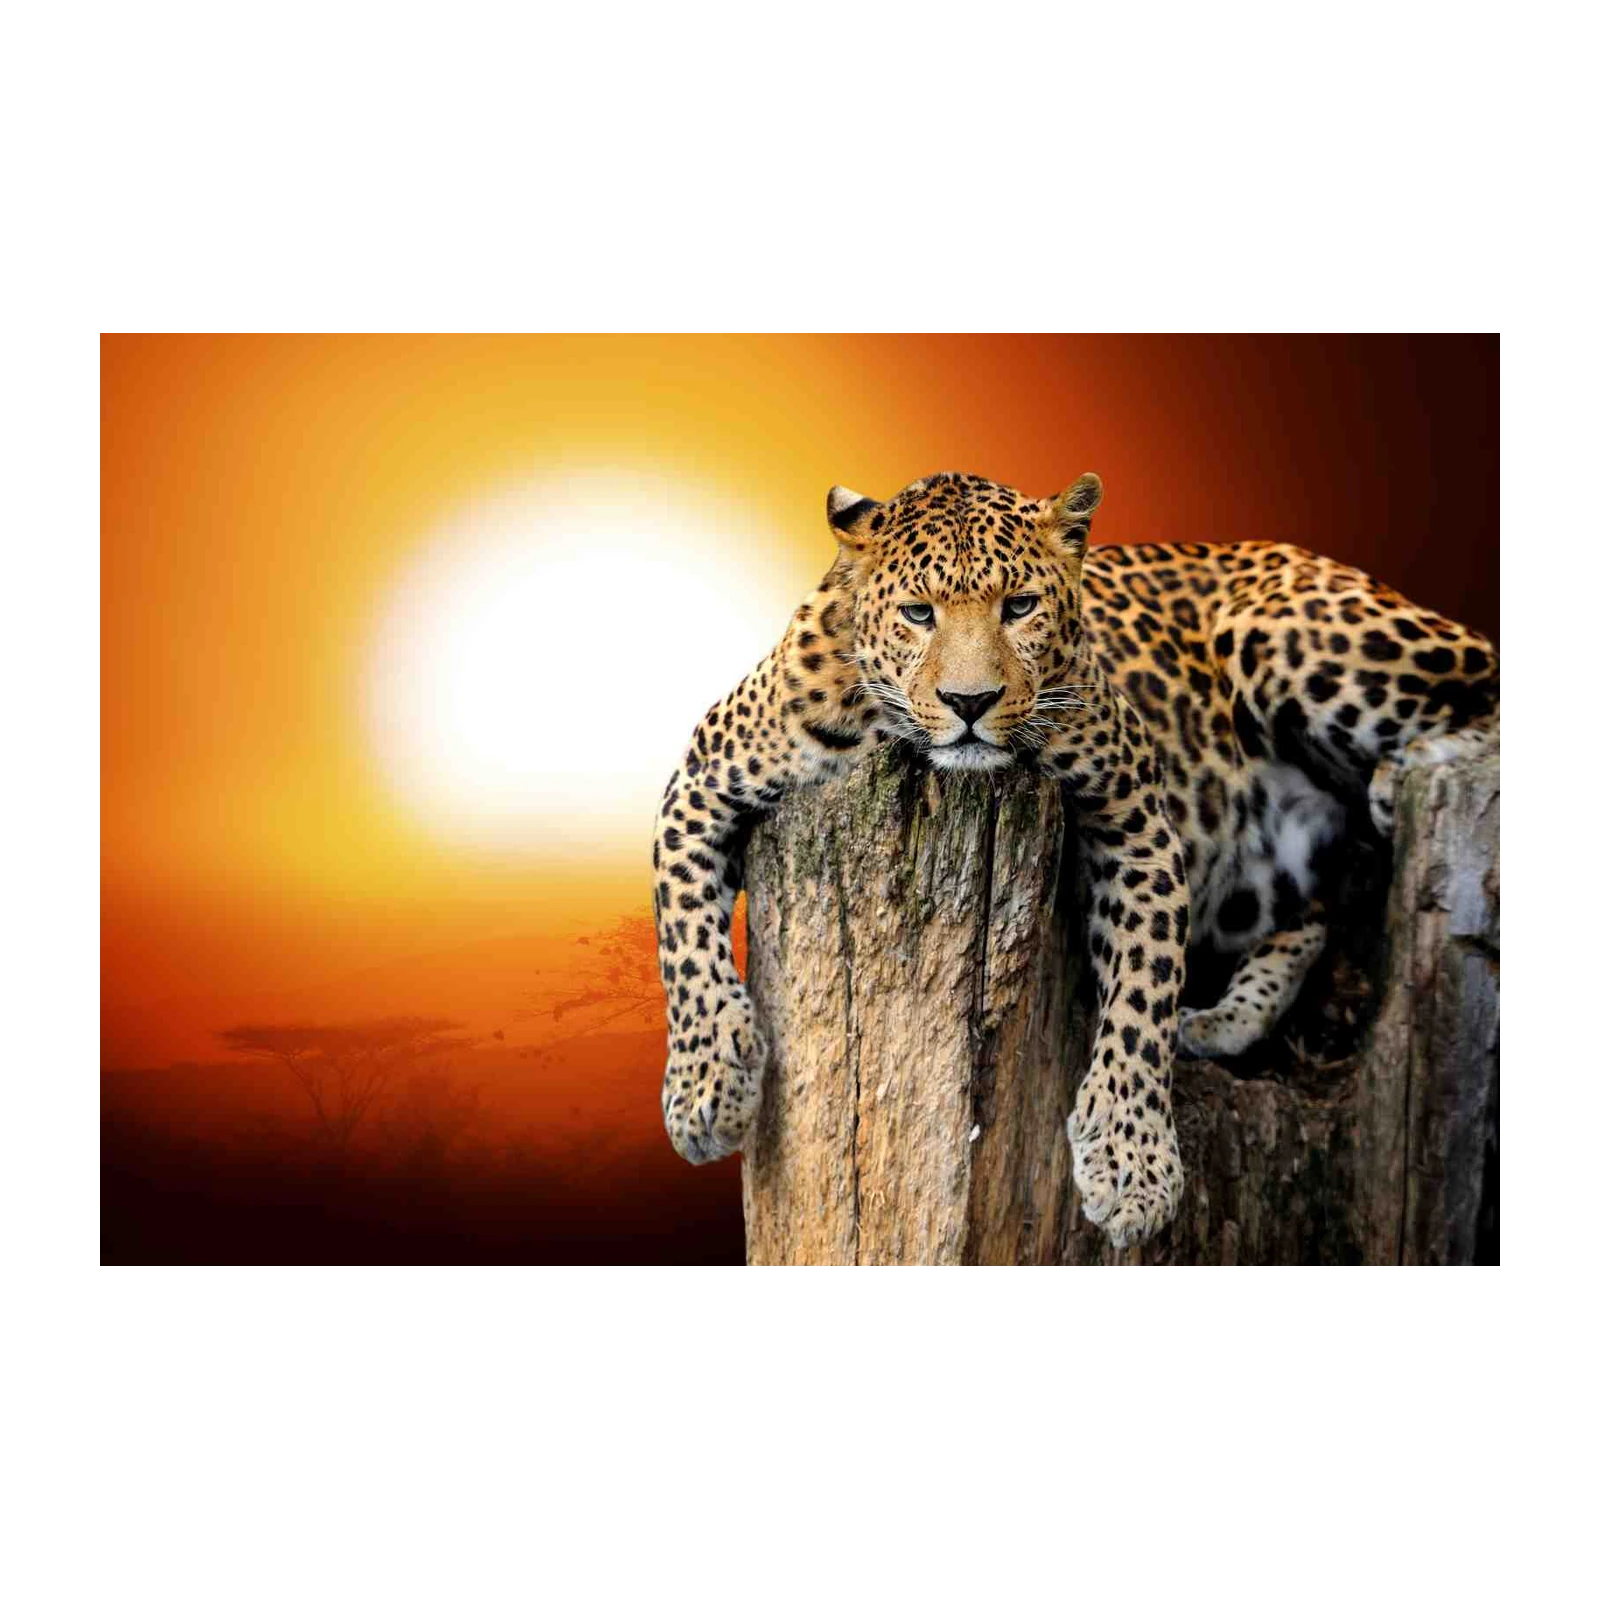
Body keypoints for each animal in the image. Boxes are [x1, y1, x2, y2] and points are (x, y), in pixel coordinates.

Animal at [650, 471, 1502, 1250]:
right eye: (919, 613)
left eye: (1020, 606)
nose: (970, 703)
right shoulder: (699, 783)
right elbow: (684, 944)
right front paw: (707, 1090)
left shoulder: (1137, 818)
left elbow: (1142, 992)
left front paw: (1132, 1165)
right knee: (1313, 912)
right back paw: (1222, 1019)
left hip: (1290, 633)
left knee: (1486, 688)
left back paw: (1404, 773)